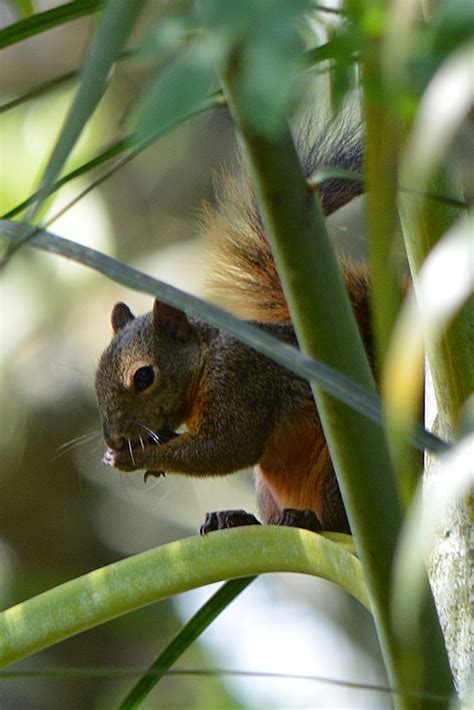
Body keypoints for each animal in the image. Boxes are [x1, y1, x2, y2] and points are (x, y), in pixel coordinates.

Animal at [94, 121, 372, 536]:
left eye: (143, 377)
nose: (113, 437)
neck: (207, 359)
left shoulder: (243, 381)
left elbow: (226, 448)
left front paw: (137, 458)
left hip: (335, 476)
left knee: (338, 524)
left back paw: (308, 518)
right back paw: (237, 518)